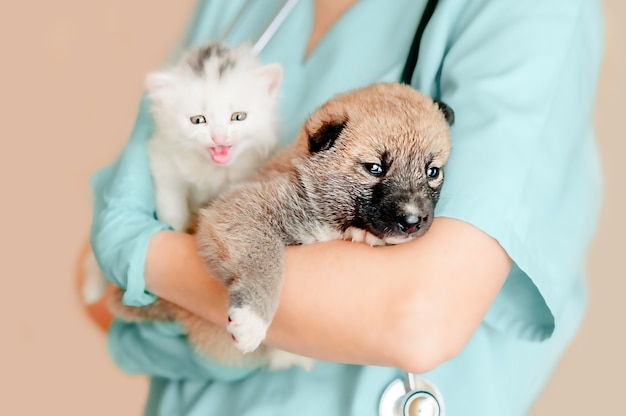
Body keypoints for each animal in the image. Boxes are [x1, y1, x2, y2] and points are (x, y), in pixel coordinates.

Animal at [84, 44, 284, 304]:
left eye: (238, 117)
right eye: (198, 120)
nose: (219, 137)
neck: (208, 167)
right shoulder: (164, 162)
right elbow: (172, 209)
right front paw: (177, 228)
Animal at [109, 82, 450, 370]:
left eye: (432, 171)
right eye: (374, 168)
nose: (413, 221)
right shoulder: (240, 211)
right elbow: (266, 258)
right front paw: (253, 318)